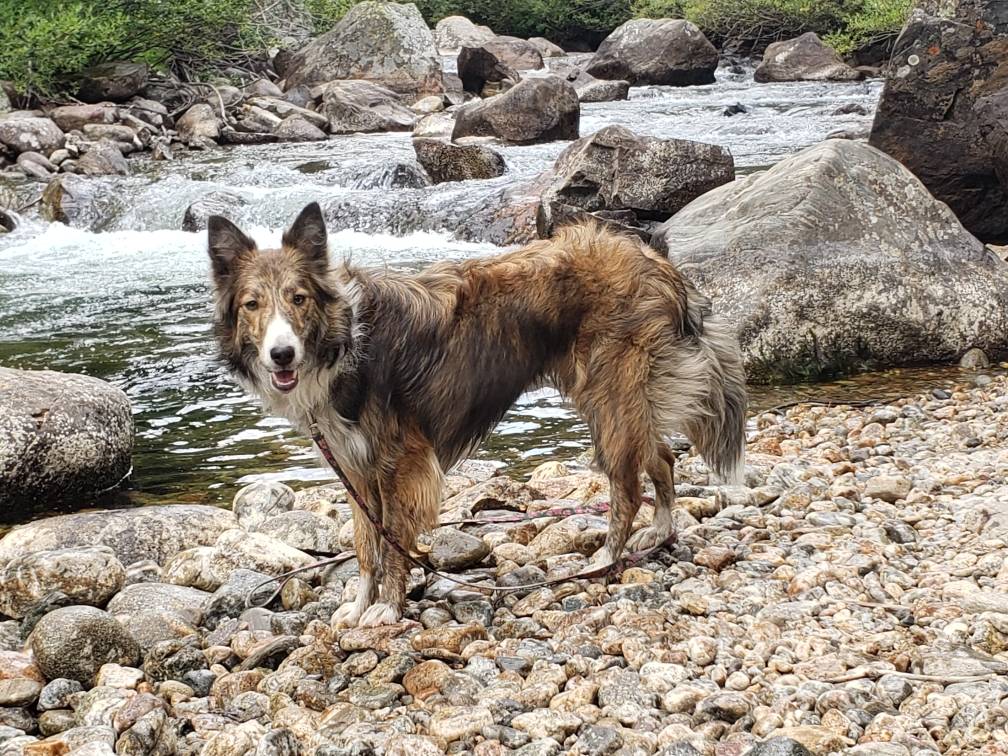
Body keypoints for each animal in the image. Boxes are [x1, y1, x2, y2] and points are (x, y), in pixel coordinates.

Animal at [206, 201, 749, 628]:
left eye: (298, 298)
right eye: (252, 304)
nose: (281, 355)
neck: (345, 338)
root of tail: (655, 259)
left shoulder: (400, 463)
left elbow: (393, 540)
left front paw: (387, 609)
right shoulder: (355, 468)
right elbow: (365, 544)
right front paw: (359, 606)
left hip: (610, 397)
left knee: (627, 486)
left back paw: (606, 558)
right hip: (620, 401)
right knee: (661, 456)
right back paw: (660, 530)